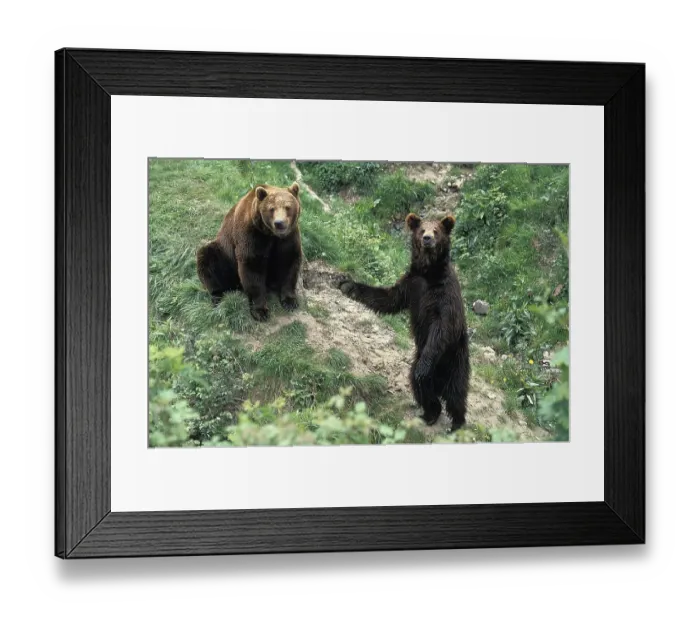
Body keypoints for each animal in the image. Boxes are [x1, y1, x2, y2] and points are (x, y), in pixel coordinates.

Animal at [196, 182, 302, 321]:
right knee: (207, 258)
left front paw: (290, 301)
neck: (271, 234)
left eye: (287, 207)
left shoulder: (288, 238)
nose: (279, 223)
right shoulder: (252, 235)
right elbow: (252, 267)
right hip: (223, 255)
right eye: (271, 209)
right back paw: (217, 296)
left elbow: (289, 262)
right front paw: (260, 311)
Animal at [338, 213, 470, 432]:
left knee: (455, 393)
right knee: (419, 384)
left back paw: (456, 424)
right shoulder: (411, 286)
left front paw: (424, 365)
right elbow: (388, 298)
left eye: (436, 230)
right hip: (422, 362)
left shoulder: (444, 295)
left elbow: (441, 327)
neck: (428, 273)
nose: (427, 238)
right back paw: (429, 414)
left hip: (454, 358)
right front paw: (347, 284)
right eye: (422, 229)